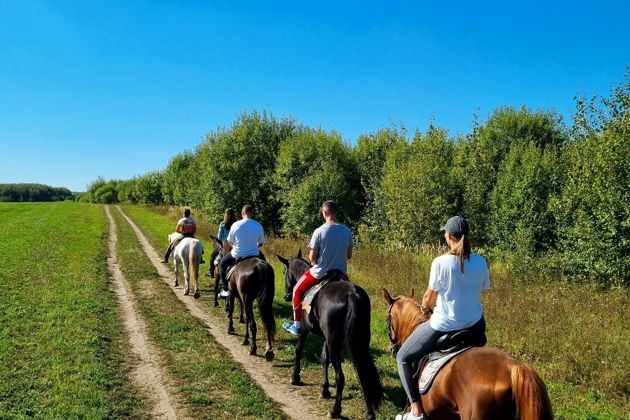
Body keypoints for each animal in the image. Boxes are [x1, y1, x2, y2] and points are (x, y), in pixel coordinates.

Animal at [278, 249, 382, 420]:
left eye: (284, 271)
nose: (287, 296)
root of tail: (352, 295)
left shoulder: (305, 331)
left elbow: (299, 350)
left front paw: (295, 377)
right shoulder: (326, 338)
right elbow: (324, 359)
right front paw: (325, 389)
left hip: (335, 343)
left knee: (340, 377)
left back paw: (335, 410)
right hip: (357, 342)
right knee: (362, 373)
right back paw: (369, 413)